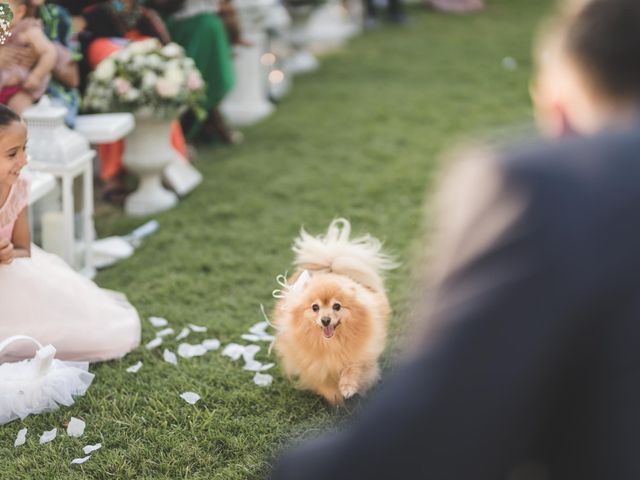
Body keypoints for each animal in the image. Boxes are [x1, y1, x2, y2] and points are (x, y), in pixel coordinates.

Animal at [274, 218, 398, 404]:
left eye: (337, 306)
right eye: (315, 307)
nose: (325, 320)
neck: (331, 344)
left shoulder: (362, 354)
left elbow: (353, 367)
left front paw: (347, 388)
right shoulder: (313, 364)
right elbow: (323, 381)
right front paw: (335, 398)